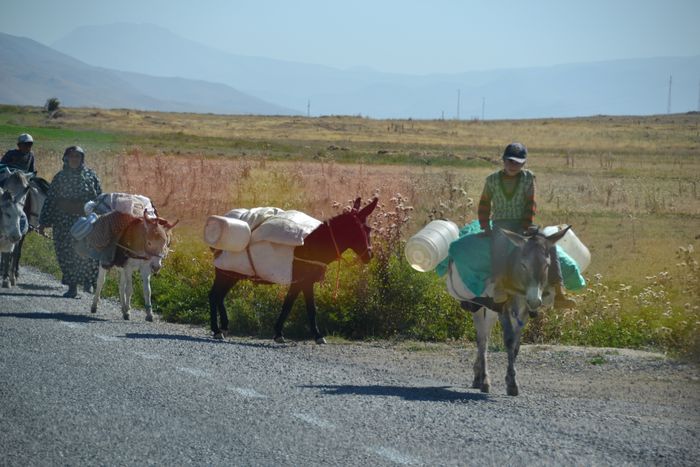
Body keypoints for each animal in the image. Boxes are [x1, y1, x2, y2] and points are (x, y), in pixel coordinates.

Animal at [209, 197, 378, 343]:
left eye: (369, 229)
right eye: (362, 229)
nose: (369, 256)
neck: (313, 245)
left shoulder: (304, 281)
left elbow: (300, 306)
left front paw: (292, 333)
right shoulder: (302, 281)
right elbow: (297, 306)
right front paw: (289, 334)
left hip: (232, 273)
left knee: (219, 296)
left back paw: (224, 327)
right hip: (225, 271)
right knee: (214, 295)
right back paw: (216, 330)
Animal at [462, 225, 570, 396]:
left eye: (547, 265)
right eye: (523, 265)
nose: (535, 300)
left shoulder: (523, 311)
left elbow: (516, 345)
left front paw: (510, 379)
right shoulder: (503, 308)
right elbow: (509, 340)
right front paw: (512, 383)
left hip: (492, 312)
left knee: (486, 335)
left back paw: (478, 377)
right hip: (480, 307)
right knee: (482, 339)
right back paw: (484, 380)